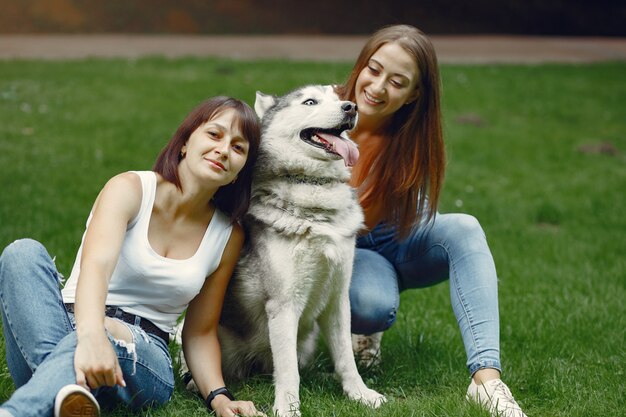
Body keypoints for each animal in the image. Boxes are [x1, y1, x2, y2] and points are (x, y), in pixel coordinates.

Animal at [176, 85, 386, 416]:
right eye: (310, 101)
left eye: (337, 96)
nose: (351, 107)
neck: (315, 192)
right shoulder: (285, 304)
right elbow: (288, 371)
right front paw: (288, 408)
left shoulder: (338, 300)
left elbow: (345, 359)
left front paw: (360, 394)